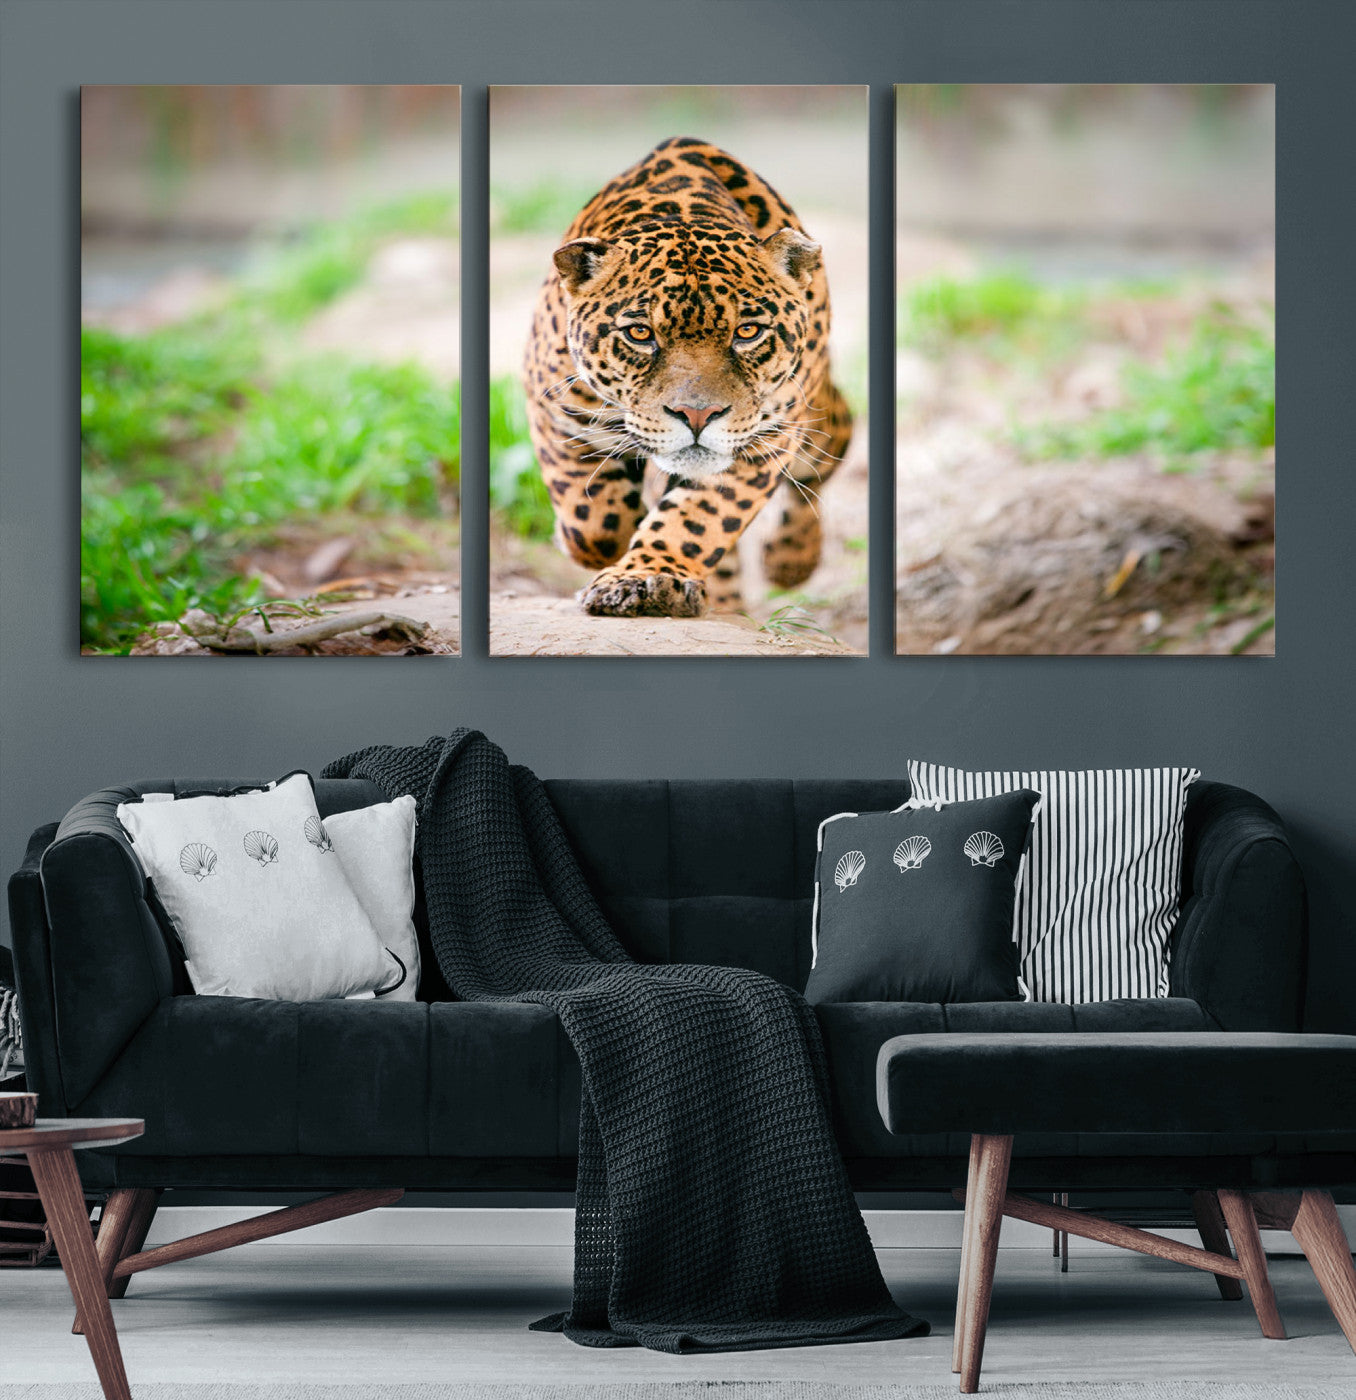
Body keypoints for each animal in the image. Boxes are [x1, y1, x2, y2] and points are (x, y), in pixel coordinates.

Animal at [522, 136, 853, 618]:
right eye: (640, 333)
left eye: (747, 332)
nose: (697, 416)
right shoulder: (556, 409)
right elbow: (592, 520)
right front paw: (607, 545)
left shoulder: (764, 440)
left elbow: (699, 518)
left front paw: (646, 577)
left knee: (825, 455)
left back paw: (790, 560)